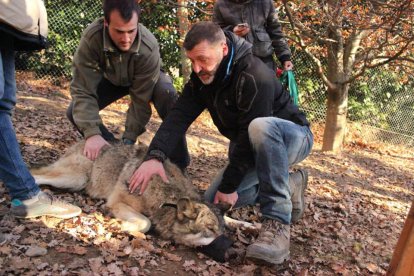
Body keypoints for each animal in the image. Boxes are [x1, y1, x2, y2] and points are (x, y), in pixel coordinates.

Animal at [32, 141, 226, 247]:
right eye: (210, 229)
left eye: (220, 231)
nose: (230, 251)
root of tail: (83, 142)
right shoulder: (117, 203)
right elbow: (146, 222)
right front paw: (122, 226)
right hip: (75, 178)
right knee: (35, 175)